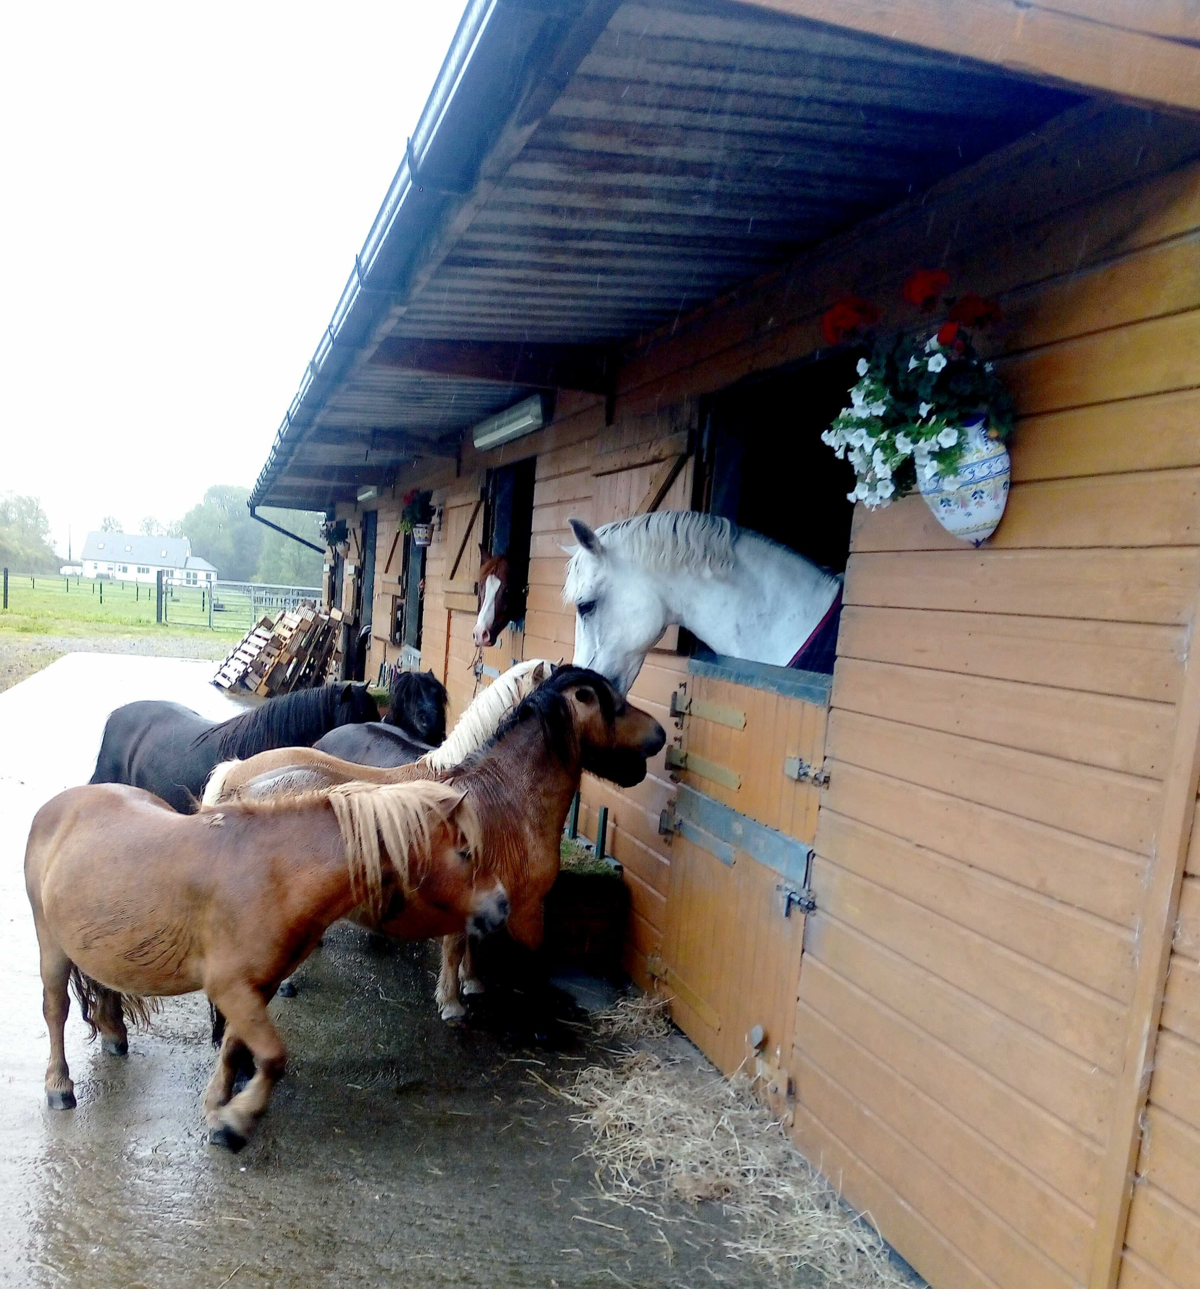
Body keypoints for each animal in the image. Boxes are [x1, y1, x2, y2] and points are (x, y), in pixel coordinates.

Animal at [25, 778, 502, 1151]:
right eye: (465, 853)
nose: (501, 908)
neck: (273, 876)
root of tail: (57, 807)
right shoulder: (230, 989)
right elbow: (272, 1056)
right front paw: (235, 1123)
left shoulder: (260, 988)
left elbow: (237, 1047)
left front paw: (218, 1106)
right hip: (51, 945)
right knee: (55, 1010)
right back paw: (58, 1086)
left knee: (104, 983)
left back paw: (113, 1034)